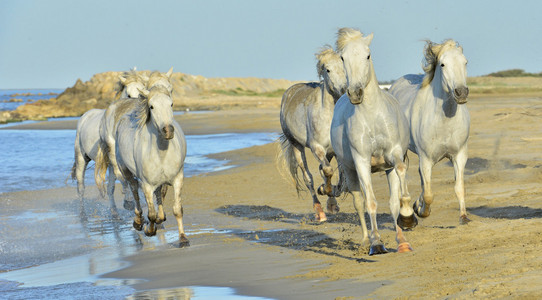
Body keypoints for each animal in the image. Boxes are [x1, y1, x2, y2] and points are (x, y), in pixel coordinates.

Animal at [73, 70, 149, 214]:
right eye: (129, 94)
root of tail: (85, 116)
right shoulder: (114, 157)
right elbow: (123, 178)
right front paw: (129, 202)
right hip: (82, 158)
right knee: (80, 187)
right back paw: (82, 211)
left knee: (110, 189)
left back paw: (114, 211)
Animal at [98, 84, 189, 246]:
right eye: (151, 106)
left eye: (171, 104)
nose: (168, 131)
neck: (162, 153)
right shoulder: (146, 185)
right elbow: (151, 214)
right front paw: (149, 230)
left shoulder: (178, 179)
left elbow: (177, 209)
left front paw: (183, 238)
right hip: (126, 172)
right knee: (134, 191)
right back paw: (138, 222)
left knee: (158, 194)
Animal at [280, 45, 348, 223]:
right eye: (328, 70)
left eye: (345, 66)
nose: (344, 90)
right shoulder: (316, 147)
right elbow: (328, 171)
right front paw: (324, 190)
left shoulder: (337, 150)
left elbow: (341, 179)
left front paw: (331, 196)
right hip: (296, 146)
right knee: (308, 177)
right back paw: (319, 212)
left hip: (328, 152)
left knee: (321, 169)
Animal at [332, 28, 416, 254]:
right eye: (342, 58)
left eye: (368, 55)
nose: (355, 93)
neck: (371, 116)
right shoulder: (361, 161)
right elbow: (370, 202)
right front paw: (377, 243)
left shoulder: (394, 154)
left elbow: (398, 190)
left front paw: (408, 218)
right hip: (350, 171)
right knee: (359, 203)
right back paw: (365, 240)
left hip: (387, 169)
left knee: (393, 200)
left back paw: (402, 239)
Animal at [392, 39, 472, 224]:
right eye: (442, 64)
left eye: (465, 62)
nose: (461, 93)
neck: (444, 121)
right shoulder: (426, 159)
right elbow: (428, 194)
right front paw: (422, 212)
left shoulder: (459, 156)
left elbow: (459, 187)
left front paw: (463, 217)